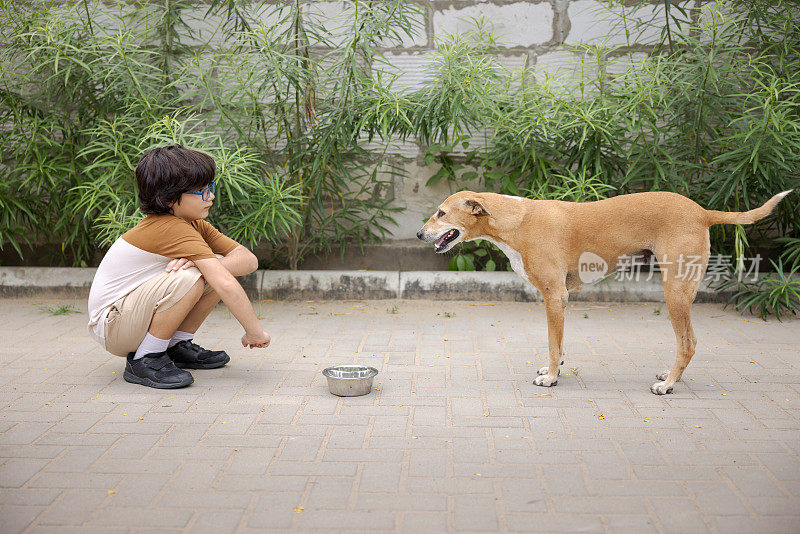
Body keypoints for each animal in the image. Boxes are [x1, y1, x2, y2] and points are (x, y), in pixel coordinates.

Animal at [418, 191, 792, 396]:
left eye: (441, 212)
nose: (420, 234)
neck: (516, 220)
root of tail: (702, 212)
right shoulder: (561, 301)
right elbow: (559, 345)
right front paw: (555, 369)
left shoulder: (554, 297)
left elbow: (553, 345)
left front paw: (551, 378)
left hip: (675, 292)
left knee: (688, 342)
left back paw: (668, 385)